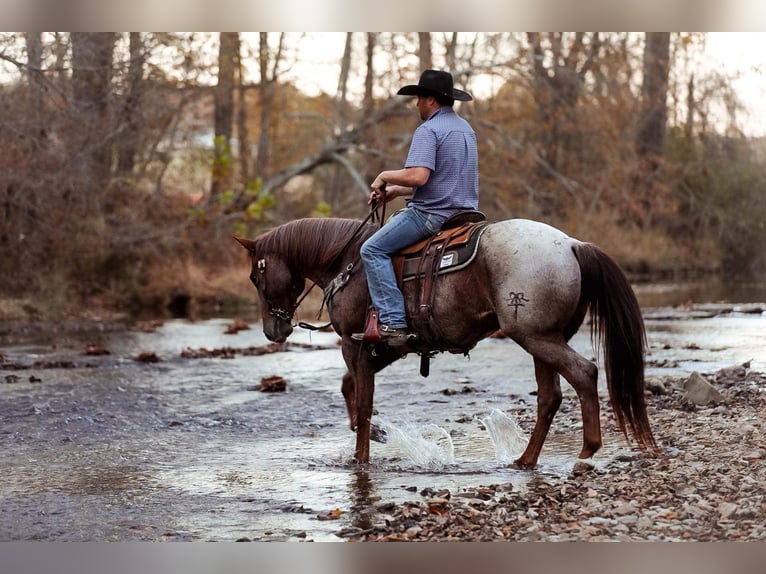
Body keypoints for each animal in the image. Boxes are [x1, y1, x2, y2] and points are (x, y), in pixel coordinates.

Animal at [234, 216, 657, 468]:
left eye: (256, 278)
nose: (273, 331)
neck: (347, 263)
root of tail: (572, 244)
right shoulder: (384, 348)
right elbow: (348, 388)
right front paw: (375, 434)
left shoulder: (356, 344)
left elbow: (364, 401)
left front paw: (362, 456)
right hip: (544, 339)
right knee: (549, 397)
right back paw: (525, 460)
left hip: (535, 338)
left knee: (583, 374)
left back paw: (587, 449)